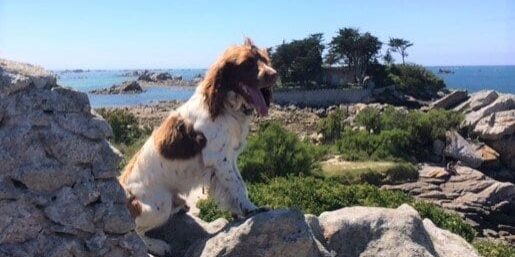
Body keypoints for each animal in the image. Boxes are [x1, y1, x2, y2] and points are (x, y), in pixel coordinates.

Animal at [119, 38, 278, 254]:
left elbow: (238, 185)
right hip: (159, 205)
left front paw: (241, 210)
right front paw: (251, 209)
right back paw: (158, 245)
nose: (274, 74)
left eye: (265, 60)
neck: (225, 106)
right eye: (247, 63)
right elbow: (237, 186)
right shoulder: (220, 159)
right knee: (134, 232)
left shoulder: (230, 158)